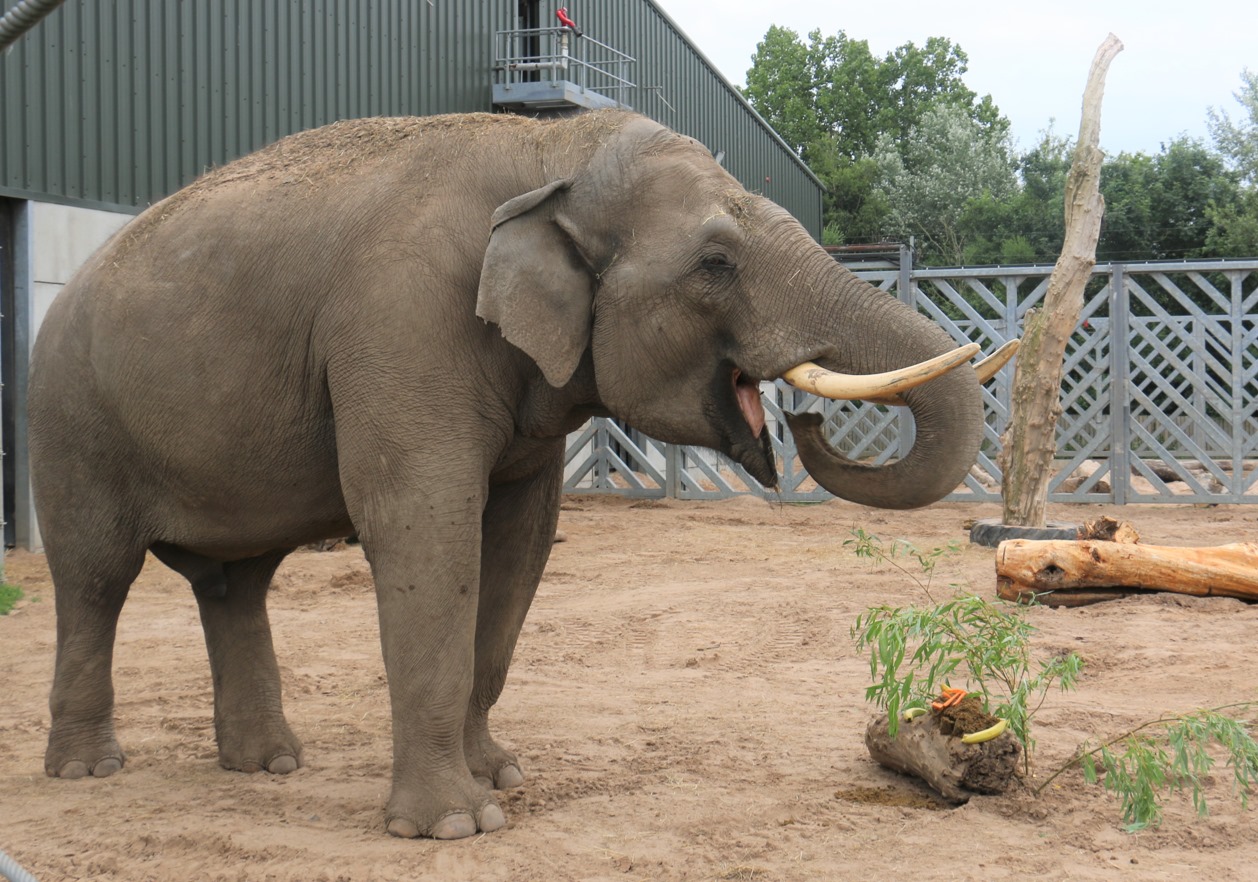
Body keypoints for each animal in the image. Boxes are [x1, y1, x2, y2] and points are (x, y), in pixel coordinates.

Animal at [24, 110, 996, 840]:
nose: (803, 417)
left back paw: (270, 765)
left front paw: (503, 776)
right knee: (96, 576)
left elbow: (520, 540)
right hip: (70, 425)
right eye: (716, 263)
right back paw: (87, 769)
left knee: (236, 583)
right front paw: (455, 827)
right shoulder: (402, 322)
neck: (550, 154)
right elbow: (424, 525)